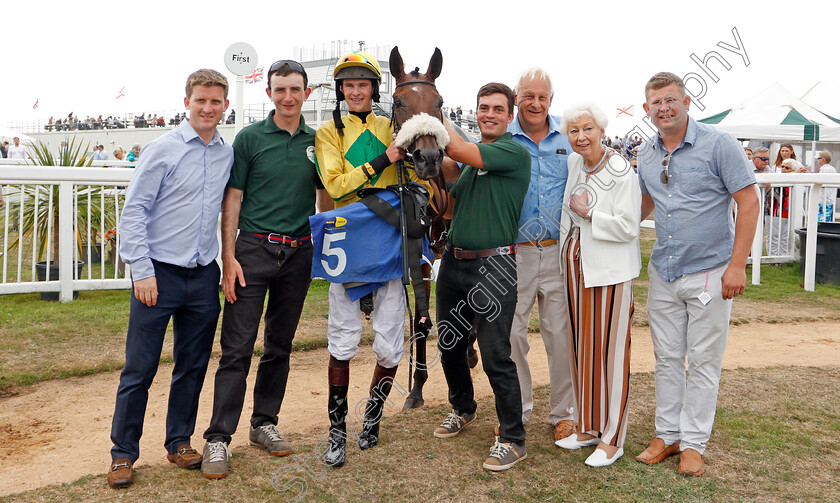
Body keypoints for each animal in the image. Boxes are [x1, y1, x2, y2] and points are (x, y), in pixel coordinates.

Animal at [388, 46, 480, 414]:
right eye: (398, 101)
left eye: (439, 101)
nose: (428, 157)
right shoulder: (422, 258)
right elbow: (419, 321)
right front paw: (416, 388)